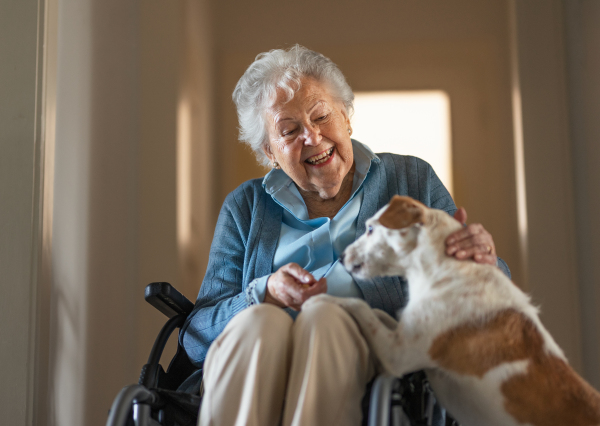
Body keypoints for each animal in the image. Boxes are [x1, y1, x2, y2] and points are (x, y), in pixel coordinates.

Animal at [310, 196, 600, 426]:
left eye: (370, 228)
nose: (342, 257)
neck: (443, 269)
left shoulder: (397, 354)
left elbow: (358, 305)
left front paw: (319, 299)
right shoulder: (402, 335)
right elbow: (381, 314)